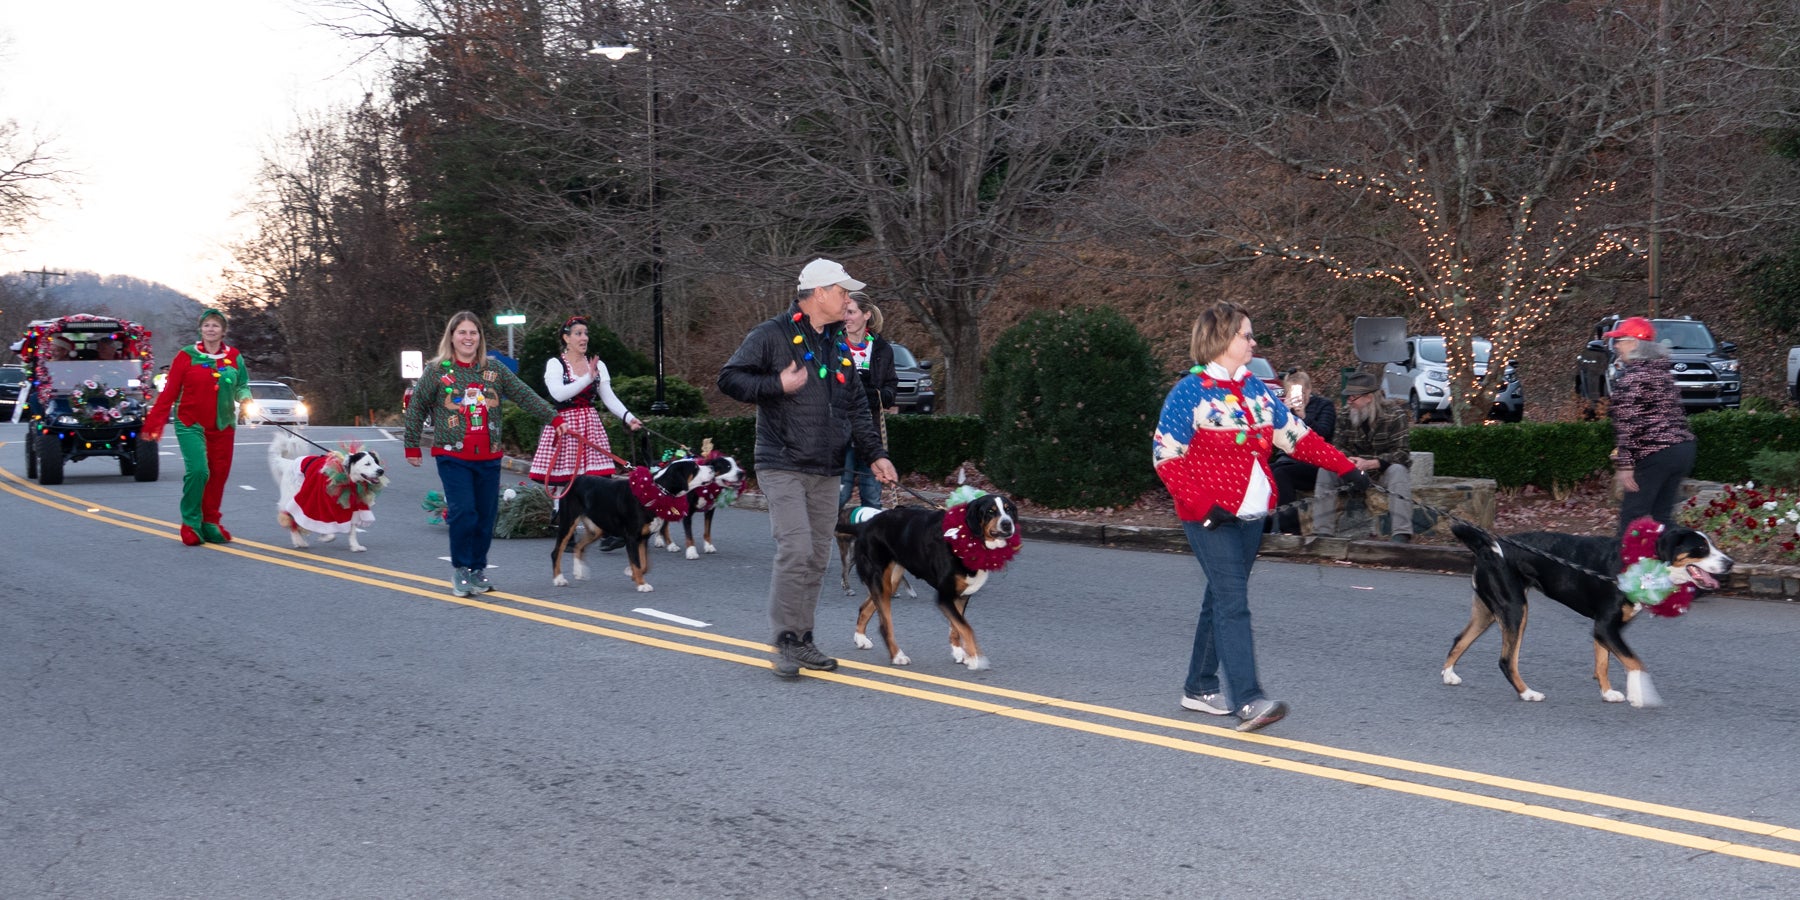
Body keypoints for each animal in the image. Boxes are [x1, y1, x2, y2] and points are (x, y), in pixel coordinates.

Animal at [835, 496, 1022, 673]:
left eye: (1008, 510)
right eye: (990, 511)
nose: (1007, 524)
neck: (967, 538)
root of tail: (865, 525)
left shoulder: (961, 596)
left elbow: (956, 627)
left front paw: (961, 653)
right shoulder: (944, 596)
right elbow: (966, 628)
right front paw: (976, 659)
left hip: (890, 582)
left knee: (865, 608)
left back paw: (861, 638)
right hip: (879, 578)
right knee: (884, 625)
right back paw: (898, 656)